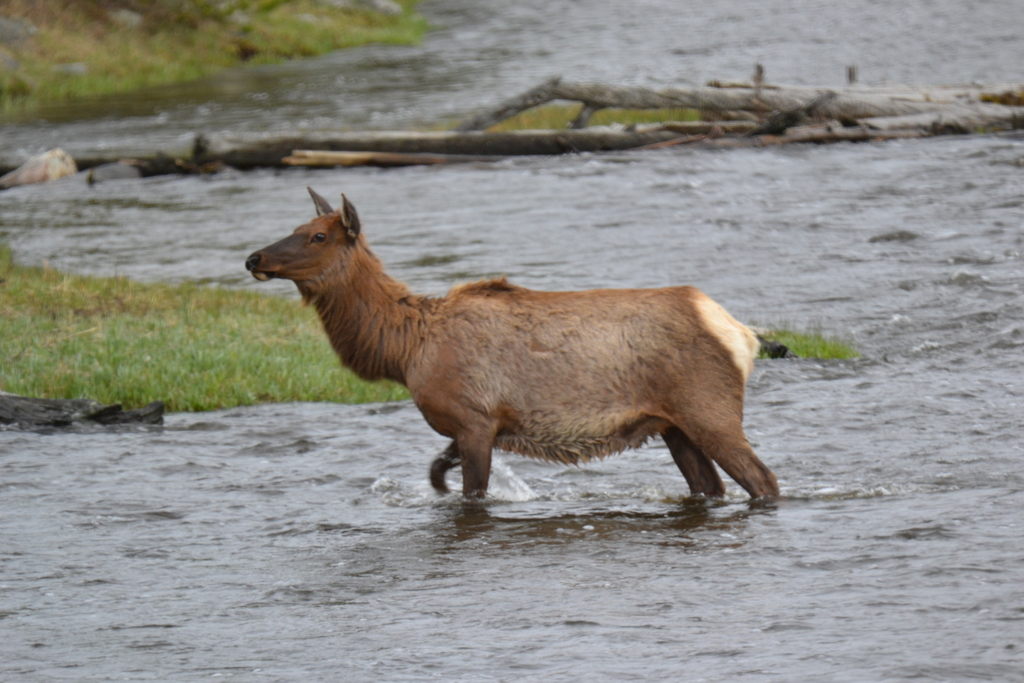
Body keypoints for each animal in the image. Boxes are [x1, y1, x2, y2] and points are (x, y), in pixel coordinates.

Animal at [243, 189, 778, 499]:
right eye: (295, 228)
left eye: (318, 236)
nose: (254, 258)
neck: (405, 350)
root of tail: (740, 331)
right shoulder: (475, 425)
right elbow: (437, 469)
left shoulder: (475, 420)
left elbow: (473, 495)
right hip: (673, 426)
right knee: (710, 488)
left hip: (709, 410)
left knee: (763, 481)